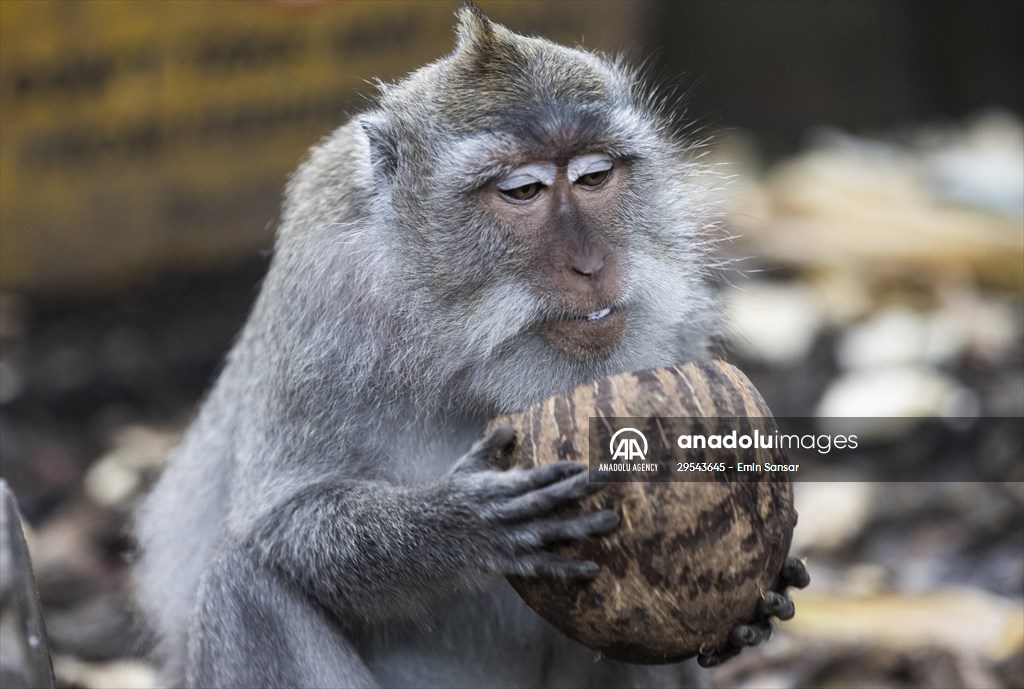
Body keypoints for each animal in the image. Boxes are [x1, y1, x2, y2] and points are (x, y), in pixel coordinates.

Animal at [134, 5, 806, 688]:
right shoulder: (323, 301)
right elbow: (277, 521)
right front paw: (454, 526)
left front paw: (760, 605)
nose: (592, 264)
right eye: (523, 191)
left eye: (594, 176)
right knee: (241, 587)